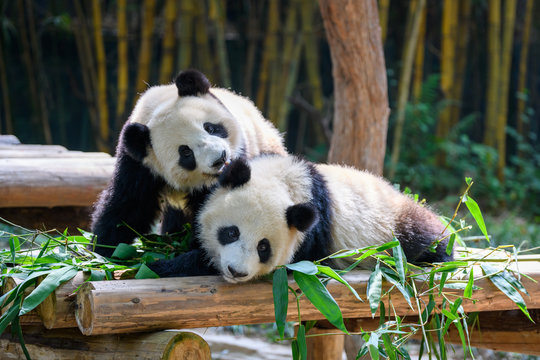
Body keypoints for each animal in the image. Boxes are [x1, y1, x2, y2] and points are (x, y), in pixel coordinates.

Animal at [91, 69, 286, 256]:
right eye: (186, 152)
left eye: (210, 128)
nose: (220, 159)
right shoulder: (139, 164)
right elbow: (128, 207)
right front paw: (102, 250)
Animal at [148, 155, 452, 282]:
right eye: (231, 232)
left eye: (263, 247)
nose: (236, 272)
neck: (286, 178)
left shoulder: (311, 238)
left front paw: (161, 265)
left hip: (394, 224)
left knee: (423, 235)